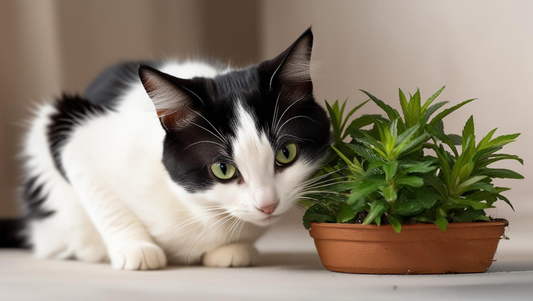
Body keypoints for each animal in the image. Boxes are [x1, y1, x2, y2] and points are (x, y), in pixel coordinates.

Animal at [20, 28, 330, 268]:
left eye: (286, 153)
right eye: (223, 169)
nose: (267, 205)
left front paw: (230, 249)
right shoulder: (70, 128)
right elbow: (101, 195)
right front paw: (135, 248)